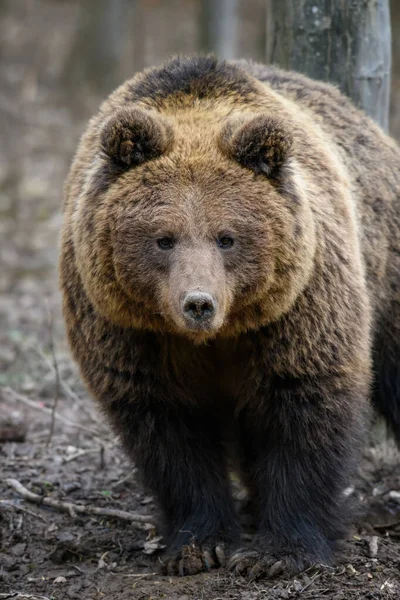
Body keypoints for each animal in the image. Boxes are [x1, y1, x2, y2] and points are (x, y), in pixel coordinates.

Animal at [59, 55, 400, 576]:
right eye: (164, 238)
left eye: (227, 237)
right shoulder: (130, 332)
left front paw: (277, 552)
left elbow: (304, 408)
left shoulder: (298, 308)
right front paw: (198, 544)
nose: (199, 303)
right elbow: (169, 434)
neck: (219, 334)